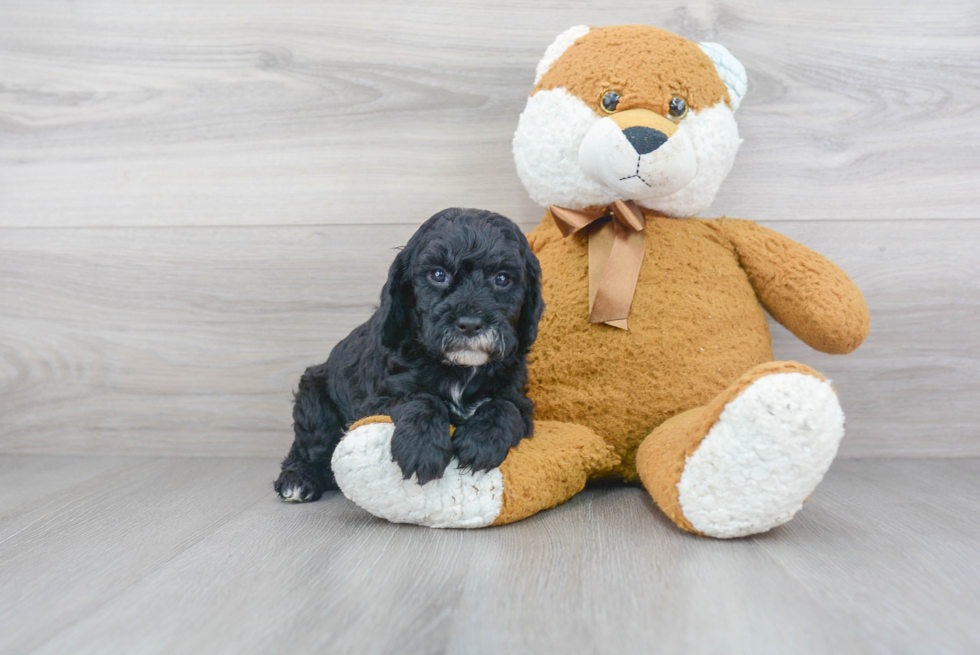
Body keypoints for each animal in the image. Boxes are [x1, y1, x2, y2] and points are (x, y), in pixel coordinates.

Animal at [276, 209, 544, 502]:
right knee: (309, 445)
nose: (471, 324)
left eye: (502, 279)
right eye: (438, 274)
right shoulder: (376, 400)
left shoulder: (518, 397)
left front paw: (481, 441)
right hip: (314, 398)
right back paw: (298, 479)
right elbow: (420, 399)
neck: (459, 370)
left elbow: (505, 406)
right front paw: (422, 447)